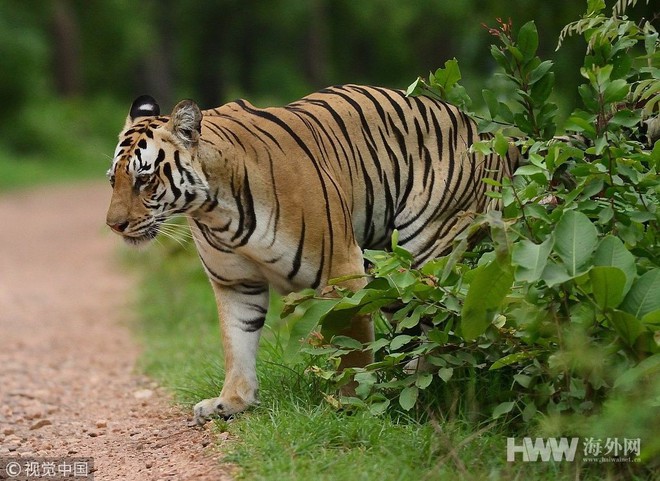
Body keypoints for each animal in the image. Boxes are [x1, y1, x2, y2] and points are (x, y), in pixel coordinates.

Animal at [105, 83, 520, 424]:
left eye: (144, 178)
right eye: (113, 180)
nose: (114, 225)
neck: (213, 210)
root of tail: (483, 132)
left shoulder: (342, 270)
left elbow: (352, 348)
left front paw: (354, 403)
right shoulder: (236, 283)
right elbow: (236, 341)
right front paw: (232, 401)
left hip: (425, 250)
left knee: (437, 326)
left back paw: (409, 387)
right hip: (389, 273)